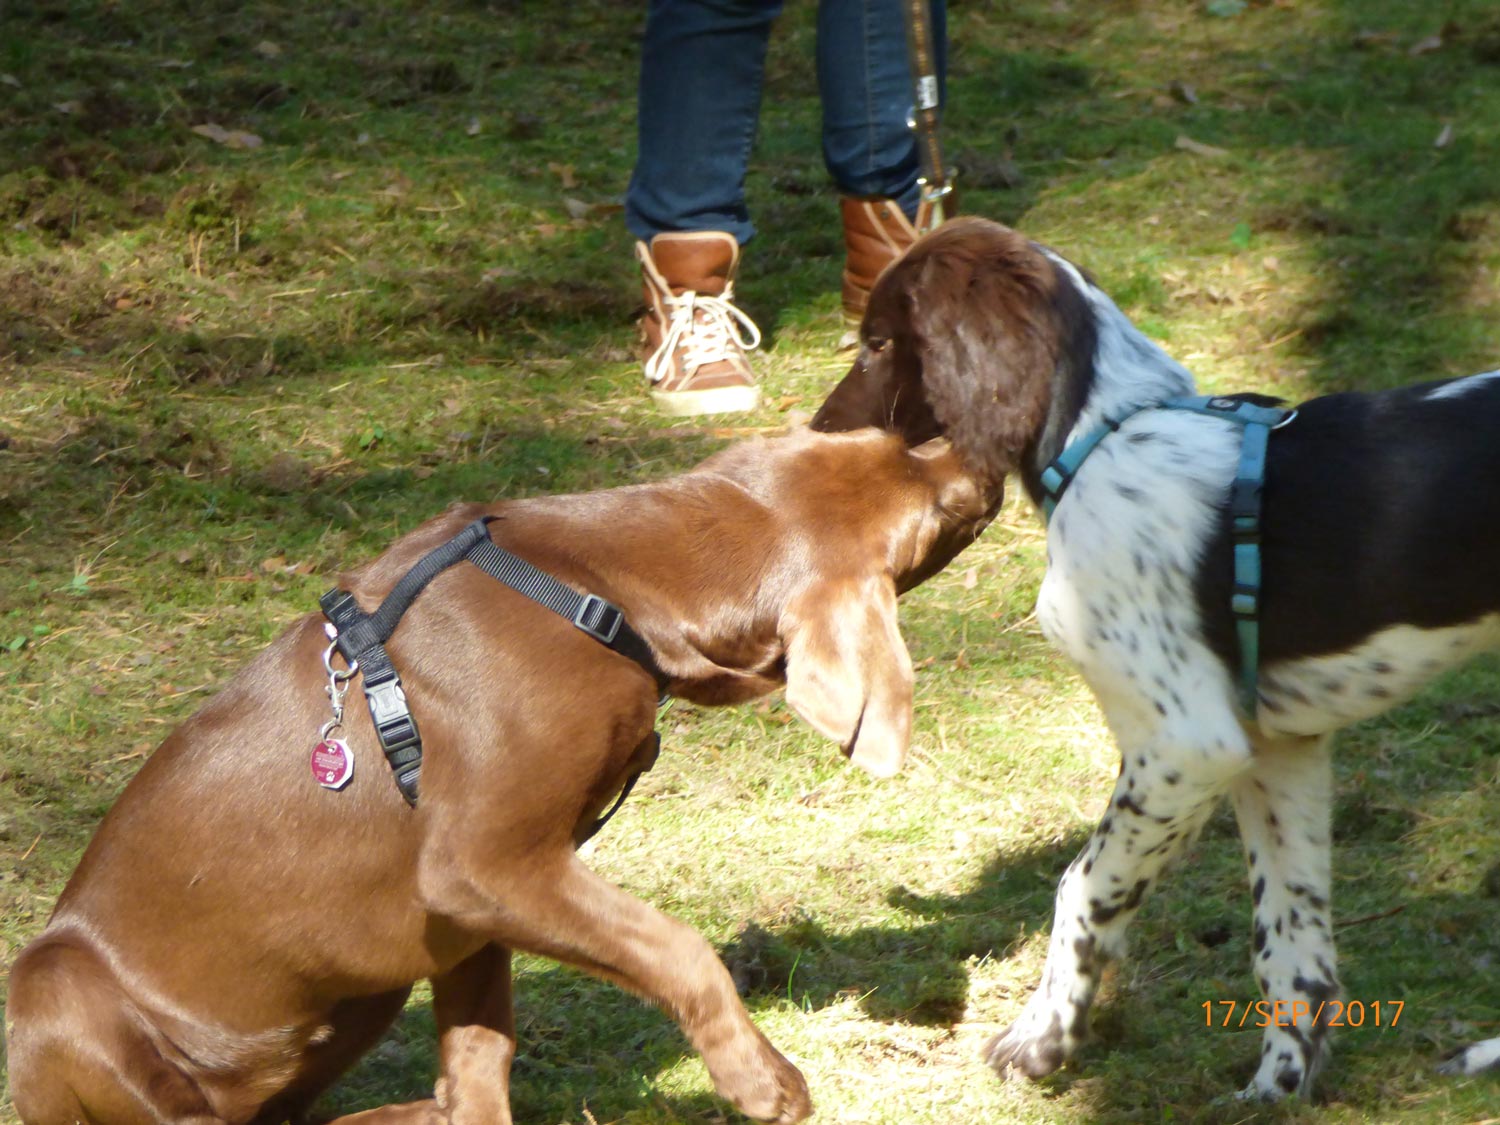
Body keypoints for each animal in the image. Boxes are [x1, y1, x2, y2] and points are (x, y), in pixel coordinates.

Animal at [8, 429, 996, 1125]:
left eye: (894, 440)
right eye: (933, 516)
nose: (978, 451)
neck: (597, 582)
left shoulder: (469, 918)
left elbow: (482, 1052)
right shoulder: (483, 865)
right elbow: (679, 945)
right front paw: (761, 1078)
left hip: (360, 992)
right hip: (52, 983)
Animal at [810, 216, 1500, 1104]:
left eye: (877, 341)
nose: (817, 437)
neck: (1100, 437)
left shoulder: (1185, 742)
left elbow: (1079, 887)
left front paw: (1039, 1040)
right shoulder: (1276, 749)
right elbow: (1289, 936)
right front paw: (1275, 1089)